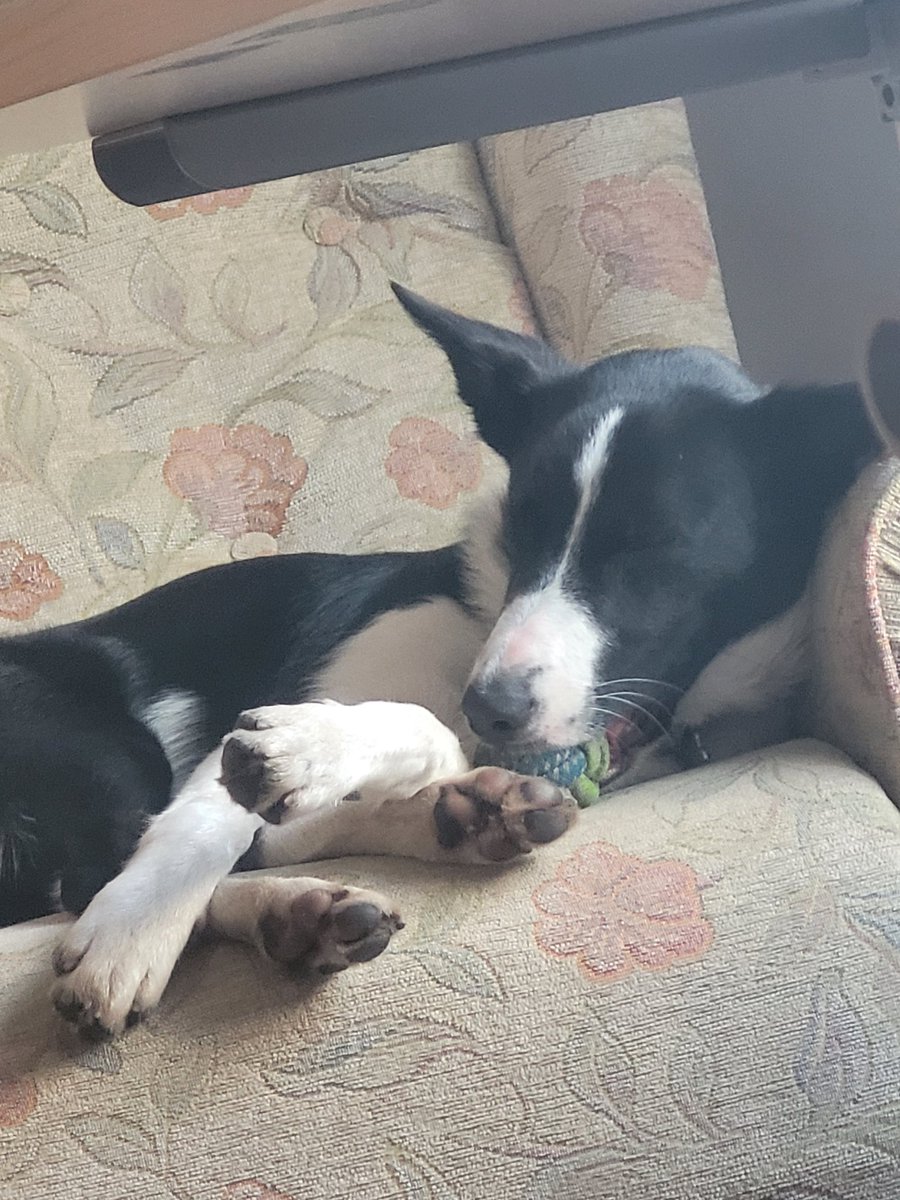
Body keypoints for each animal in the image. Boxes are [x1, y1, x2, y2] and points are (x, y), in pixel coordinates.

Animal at [0, 285, 897, 1036]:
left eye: (656, 549)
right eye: (519, 528)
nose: (491, 710)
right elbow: (227, 809)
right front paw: (141, 922)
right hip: (102, 749)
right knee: (115, 865)